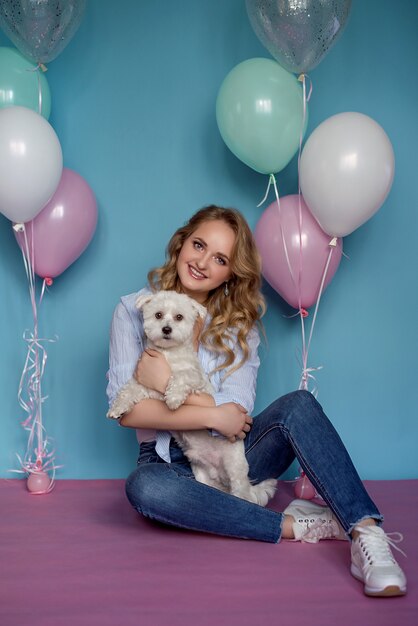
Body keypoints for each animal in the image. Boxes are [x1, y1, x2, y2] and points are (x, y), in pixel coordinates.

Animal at [109, 290, 276, 504]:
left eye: (179, 317)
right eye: (158, 315)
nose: (166, 329)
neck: (168, 354)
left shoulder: (194, 378)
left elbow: (181, 377)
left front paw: (173, 398)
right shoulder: (144, 384)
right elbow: (127, 390)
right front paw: (117, 408)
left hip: (235, 469)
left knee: (241, 494)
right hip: (201, 473)